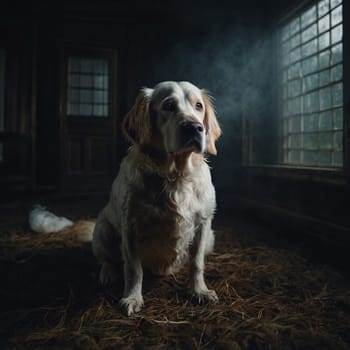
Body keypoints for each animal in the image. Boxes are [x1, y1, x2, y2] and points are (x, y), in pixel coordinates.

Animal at [91, 80, 220, 316]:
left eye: (198, 106)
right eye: (168, 105)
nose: (195, 127)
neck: (176, 175)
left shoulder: (204, 224)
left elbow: (197, 263)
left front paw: (199, 291)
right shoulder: (131, 227)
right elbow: (133, 268)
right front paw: (132, 298)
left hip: (211, 238)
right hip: (102, 229)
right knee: (106, 259)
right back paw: (107, 273)